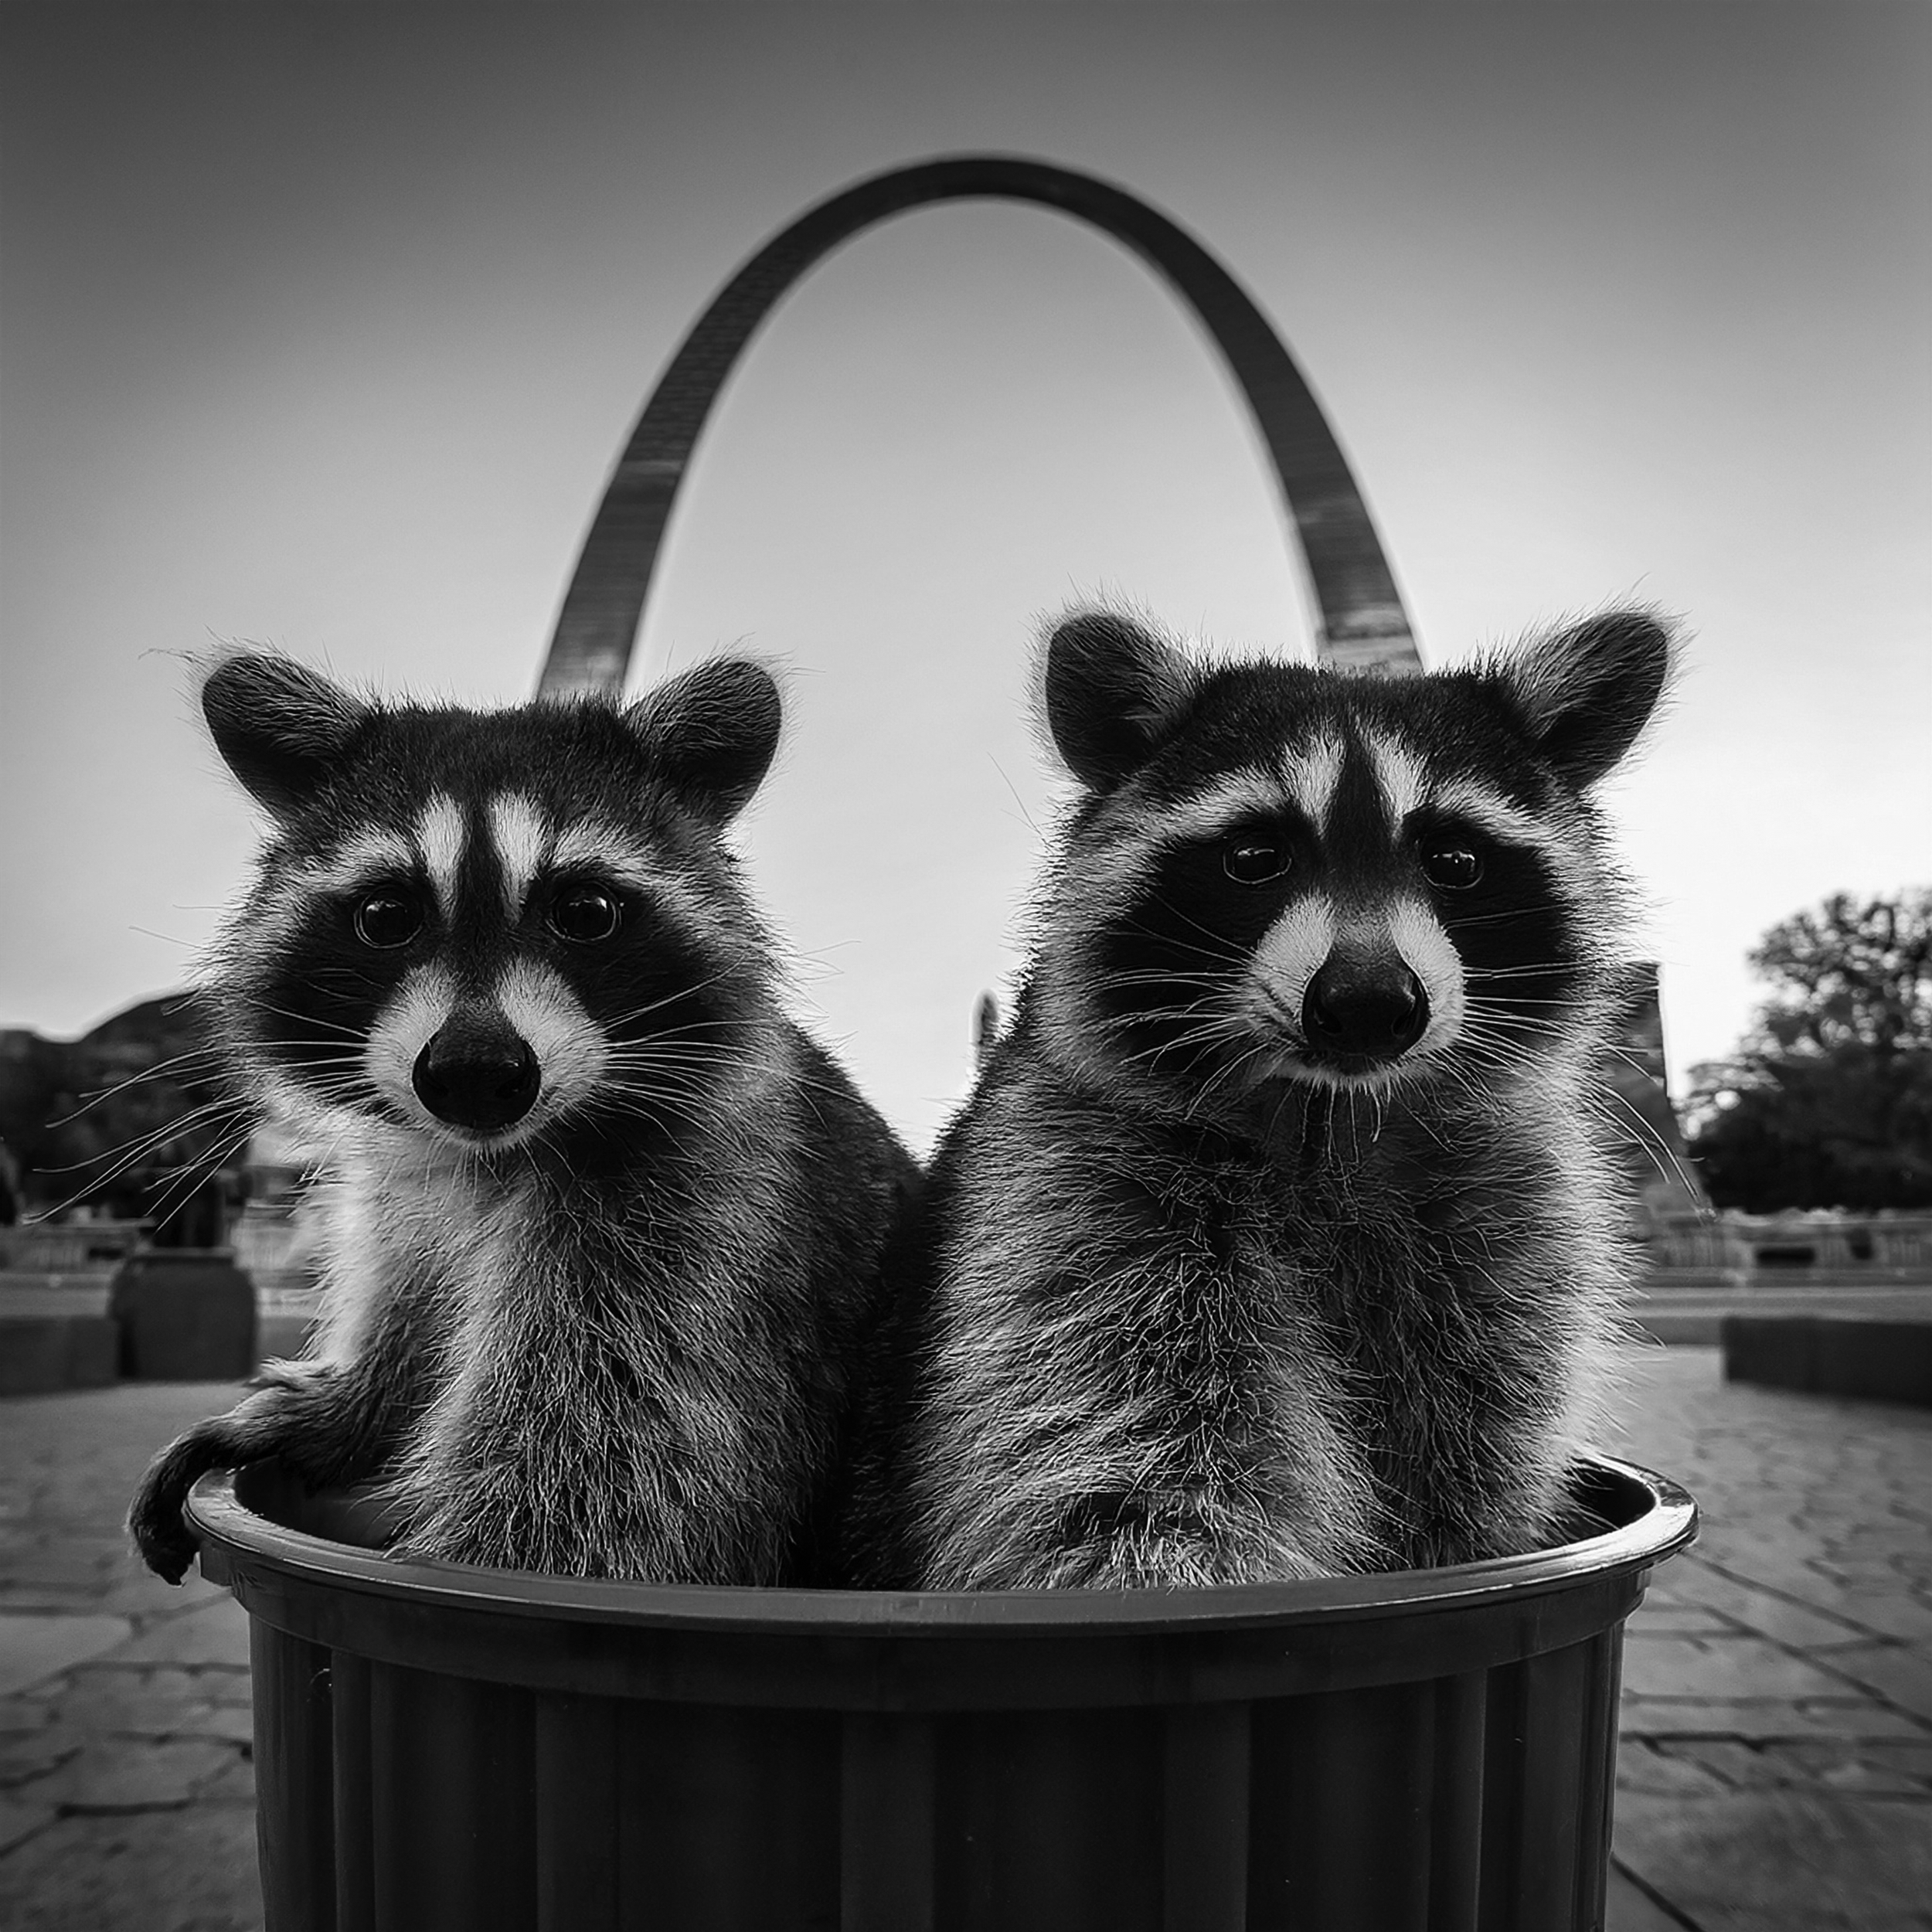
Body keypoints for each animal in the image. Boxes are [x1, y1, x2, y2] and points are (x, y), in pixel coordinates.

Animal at [129, 653, 917, 1586]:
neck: (496, 1153)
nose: (474, 1075)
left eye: (584, 912)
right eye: (386, 916)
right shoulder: (411, 1188)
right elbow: (410, 1326)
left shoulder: (703, 1221)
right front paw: (337, 1407)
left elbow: (602, 1503)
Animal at [848, 605, 1673, 1589]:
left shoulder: (1506, 1228)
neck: (1336, 1114)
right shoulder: (1081, 1198)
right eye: (1254, 857)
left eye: (1455, 860)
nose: (1368, 1004)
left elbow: (1475, 1456)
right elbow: (1129, 1469)